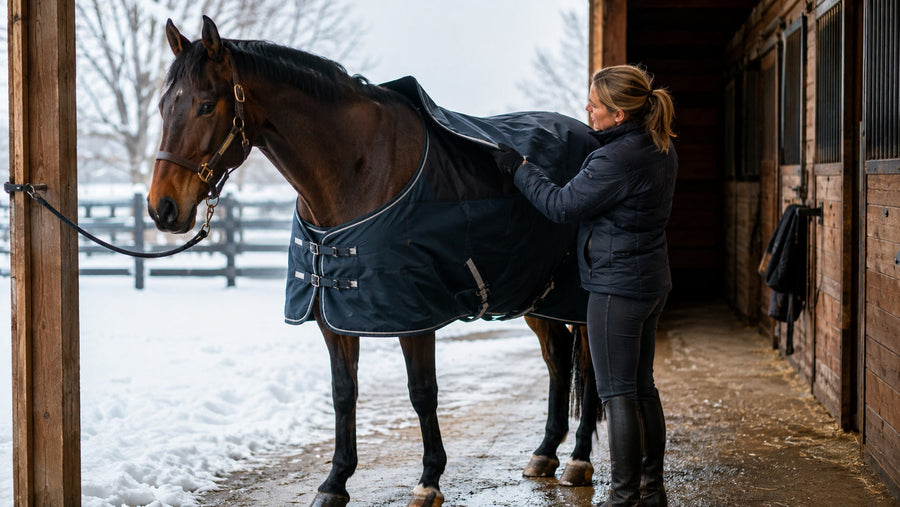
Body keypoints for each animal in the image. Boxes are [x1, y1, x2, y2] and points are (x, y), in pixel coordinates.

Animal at [148, 16, 599, 507]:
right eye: (163, 107)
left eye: (206, 105)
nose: (163, 208)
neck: (357, 168)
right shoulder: (333, 313)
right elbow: (343, 393)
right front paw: (334, 482)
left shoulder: (413, 314)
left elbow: (422, 393)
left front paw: (429, 480)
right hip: (535, 295)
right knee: (558, 359)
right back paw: (545, 453)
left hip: (581, 299)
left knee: (592, 364)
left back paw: (579, 459)